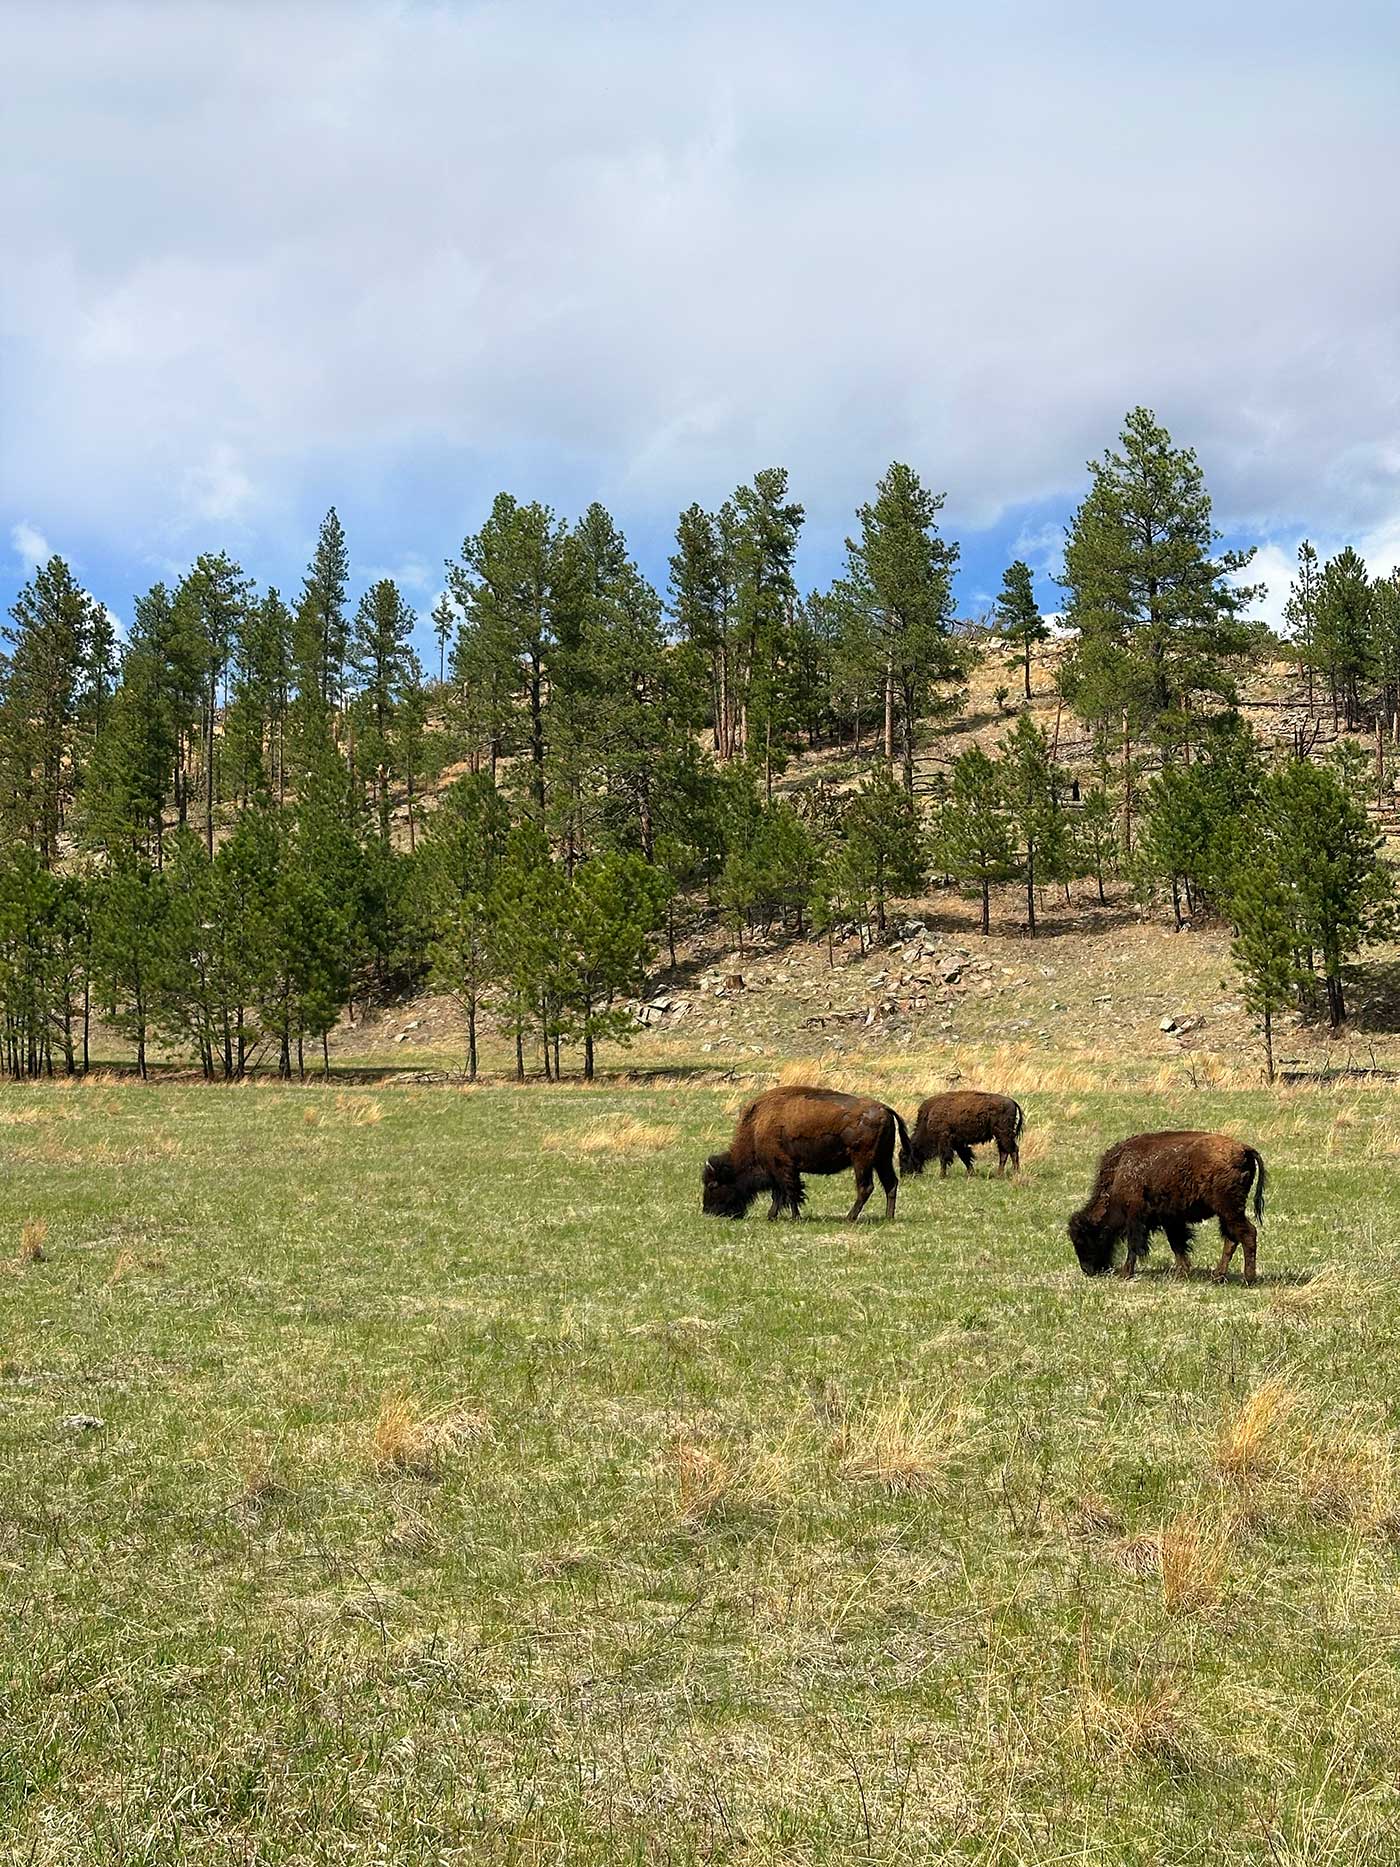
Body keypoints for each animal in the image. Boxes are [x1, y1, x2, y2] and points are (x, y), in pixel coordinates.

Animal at [701, 1085, 915, 1222]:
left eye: (713, 1185)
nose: (708, 1211)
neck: (756, 1127)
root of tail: (884, 1108)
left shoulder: (782, 1166)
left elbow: (790, 1192)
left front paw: (794, 1217)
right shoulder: (780, 1170)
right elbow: (780, 1193)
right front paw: (772, 1216)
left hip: (862, 1161)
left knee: (866, 1187)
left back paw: (849, 1218)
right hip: (882, 1159)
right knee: (890, 1184)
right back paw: (888, 1217)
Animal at [1068, 1130, 1267, 1283]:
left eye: (1083, 1239)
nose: (1088, 1270)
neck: (1119, 1172)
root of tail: (1244, 1149)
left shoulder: (1135, 1217)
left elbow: (1134, 1246)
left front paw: (1126, 1273)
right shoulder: (1171, 1220)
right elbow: (1177, 1244)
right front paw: (1182, 1273)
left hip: (1228, 1208)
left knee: (1248, 1233)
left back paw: (1248, 1279)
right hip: (1226, 1212)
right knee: (1232, 1238)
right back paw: (1218, 1276)